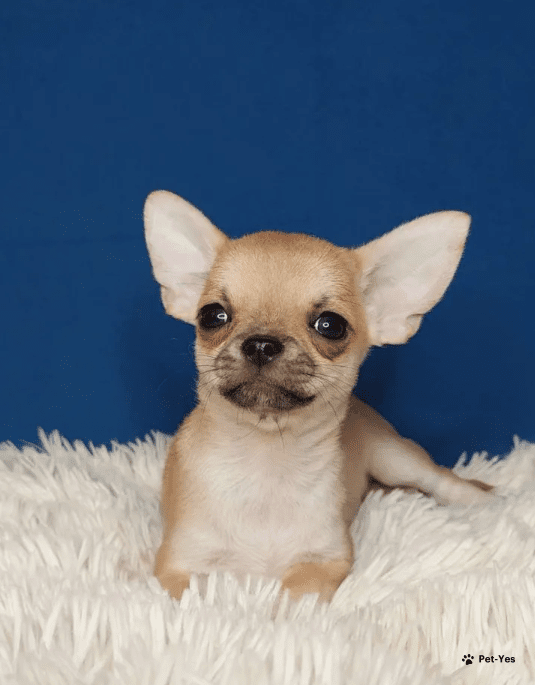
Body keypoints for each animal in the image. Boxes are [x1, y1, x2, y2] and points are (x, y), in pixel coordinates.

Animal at [143, 190, 493, 603]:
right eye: (212, 316)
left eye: (331, 325)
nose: (261, 344)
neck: (266, 462)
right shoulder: (177, 565)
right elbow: (196, 599)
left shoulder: (325, 560)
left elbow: (296, 595)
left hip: (395, 457)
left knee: (441, 479)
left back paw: (486, 500)